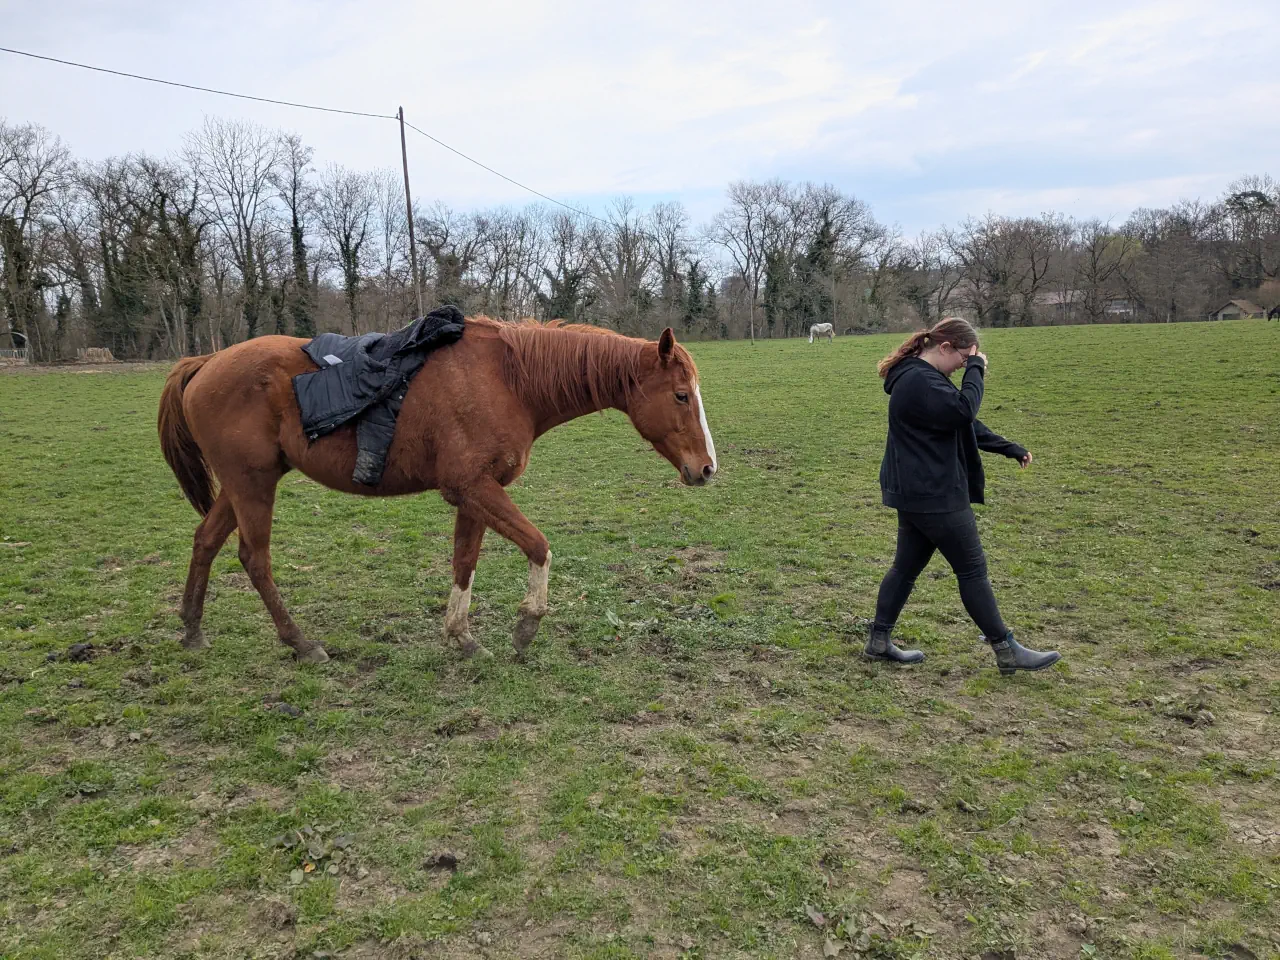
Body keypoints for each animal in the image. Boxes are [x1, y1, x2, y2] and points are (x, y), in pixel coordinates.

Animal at [158, 318, 717, 663]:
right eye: (680, 395)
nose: (707, 469)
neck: (508, 381)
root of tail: (205, 362)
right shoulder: (471, 488)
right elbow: (539, 546)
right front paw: (527, 624)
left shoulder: (476, 494)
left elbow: (463, 563)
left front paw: (461, 636)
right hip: (252, 486)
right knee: (255, 559)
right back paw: (299, 642)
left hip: (243, 486)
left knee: (205, 542)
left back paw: (192, 629)